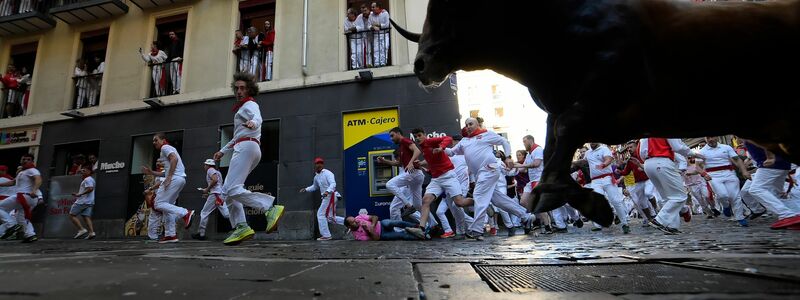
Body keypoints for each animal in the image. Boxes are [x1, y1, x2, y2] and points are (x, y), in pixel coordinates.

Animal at [394, 0, 800, 225]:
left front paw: (564, 195)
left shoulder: (611, 91)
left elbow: (563, 136)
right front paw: (581, 199)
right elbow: (555, 144)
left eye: (449, 7)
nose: (421, 63)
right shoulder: (562, 109)